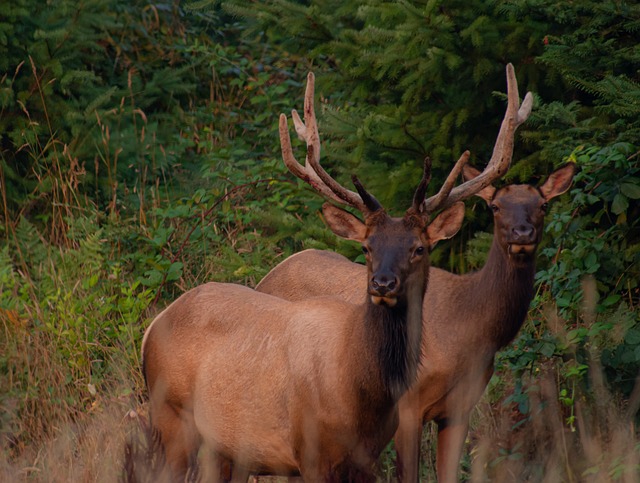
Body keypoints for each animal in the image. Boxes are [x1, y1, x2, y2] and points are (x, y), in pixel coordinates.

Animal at [142, 72, 472, 483]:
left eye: (419, 248)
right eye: (367, 247)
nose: (382, 284)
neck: (361, 392)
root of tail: (152, 327)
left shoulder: (368, 457)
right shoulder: (312, 451)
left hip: (222, 446)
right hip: (170, 418)